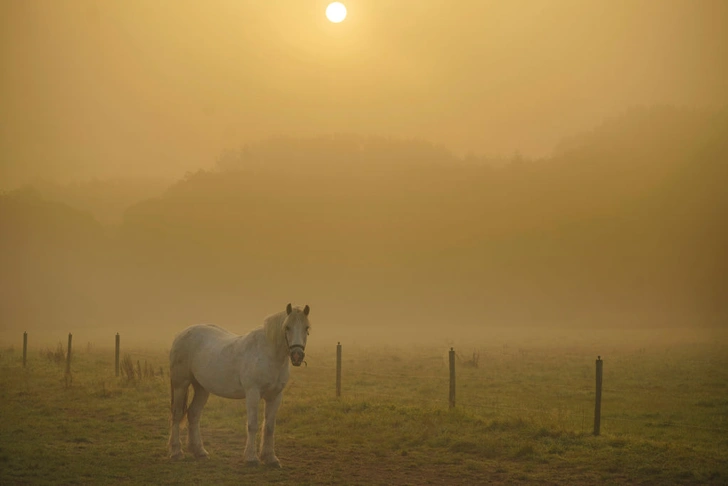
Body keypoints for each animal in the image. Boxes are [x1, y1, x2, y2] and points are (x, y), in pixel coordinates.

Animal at [168, 302, 310, 466]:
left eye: (307, 328)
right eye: (287, 327)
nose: (297, 356)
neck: (269, 355)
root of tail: (181, 334)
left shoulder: (275, 396)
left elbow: (269, 427)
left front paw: (270, 458)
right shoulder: (253, 393)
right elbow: (252, 425)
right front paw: (251, 458)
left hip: (202, 388)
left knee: (193, 414)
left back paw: (200, 452)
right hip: (181, 385)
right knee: (177, 414)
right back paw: (176, 452)